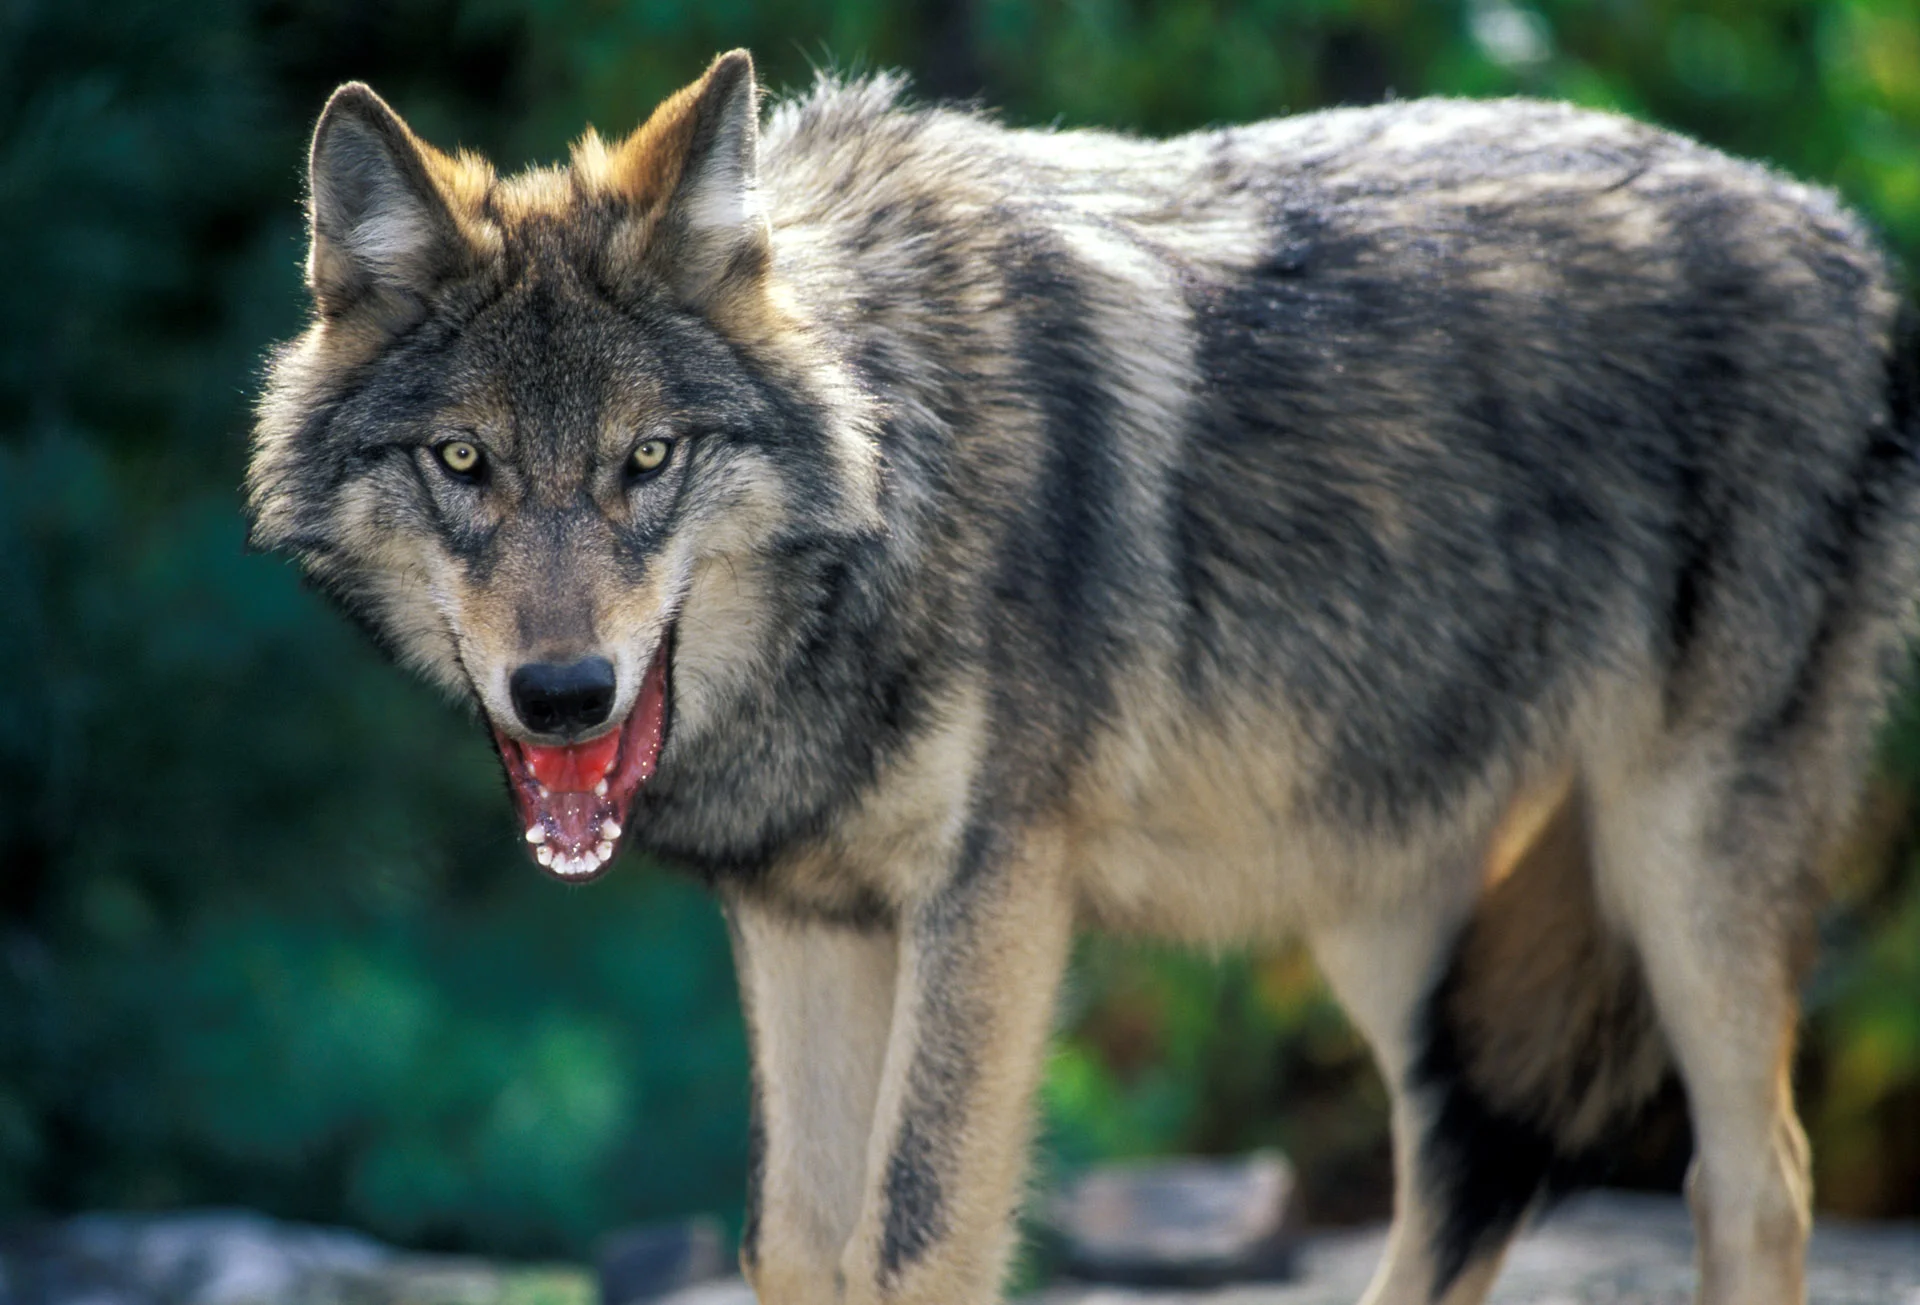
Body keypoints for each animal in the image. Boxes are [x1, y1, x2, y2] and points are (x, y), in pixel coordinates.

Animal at [249, 49, 1920, 1305]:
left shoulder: (994, 890)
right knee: (1464, 1176)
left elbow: (911, 1243)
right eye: (464, 464)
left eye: (646, 460)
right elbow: (794, 1246)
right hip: (1383, 901)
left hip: (1677, 862)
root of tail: (1847, 239)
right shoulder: (806, 919)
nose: (564, 696)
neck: (897, 493)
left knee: (1754, 1181)